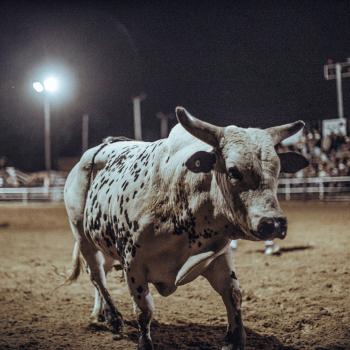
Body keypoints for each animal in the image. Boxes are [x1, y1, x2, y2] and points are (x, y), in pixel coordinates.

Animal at [64, 107, 308, 350]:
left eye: (278, 170)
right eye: (233, 171)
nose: (273, 223)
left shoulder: (219, 255)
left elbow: (233, 294)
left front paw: (235, 339)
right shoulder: (133, 264)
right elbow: (144, 311)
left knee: (102, 272)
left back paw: (101, 314)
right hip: (83, 237)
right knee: (97, 275)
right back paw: (113, 318)